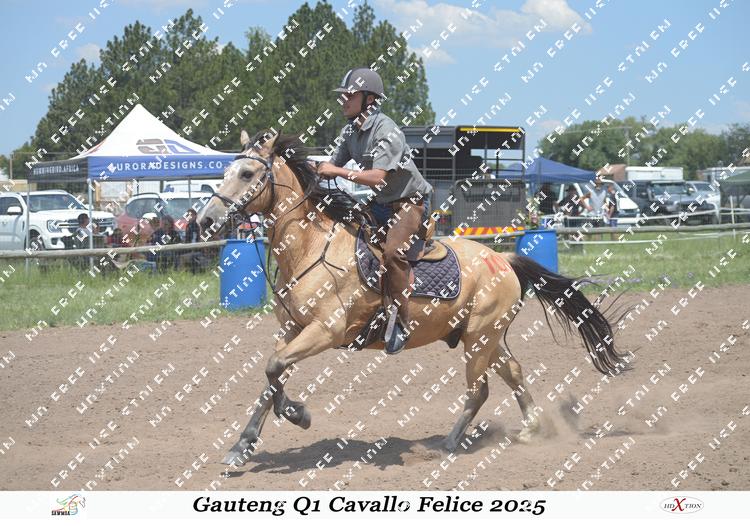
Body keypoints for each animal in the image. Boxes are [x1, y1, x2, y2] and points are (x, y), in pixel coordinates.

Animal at [198, 129, 629, 467]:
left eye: (247, 173)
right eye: (225, 171)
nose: (205, 220)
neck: (311, 249)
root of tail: (502, 259)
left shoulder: (325, 331)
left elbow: (274, 370)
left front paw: (298, 414)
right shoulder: (292, 330)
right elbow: (272, 376)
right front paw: (243, 444)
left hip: (480, 338)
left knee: (480, 390)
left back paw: (450, 443)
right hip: (485, 337)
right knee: (515, 372)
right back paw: (530, 430)